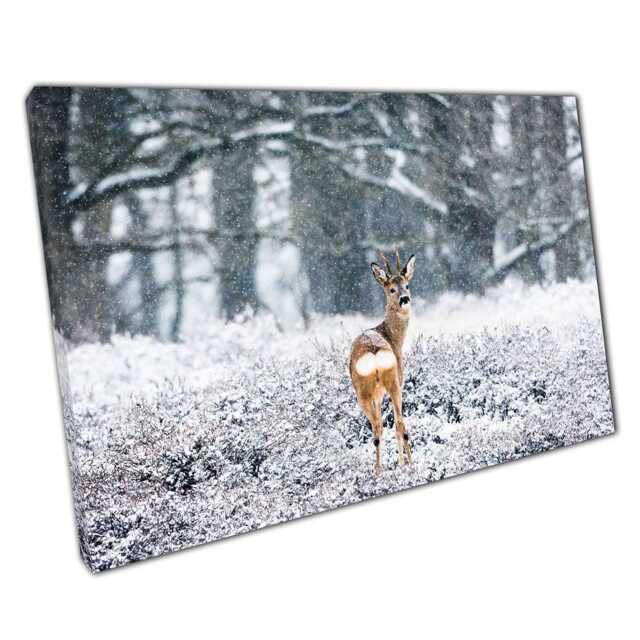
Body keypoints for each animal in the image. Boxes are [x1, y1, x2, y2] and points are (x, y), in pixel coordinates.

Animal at [349, 249, 416, 473]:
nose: (405, 299)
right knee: (395, 425)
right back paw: (406, 465)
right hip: (393, 382)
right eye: (391, 289)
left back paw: (379, 469)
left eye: (407, 285)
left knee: (380, 427)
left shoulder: (378, 394)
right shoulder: (400, 379)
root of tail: (375, 352)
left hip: (368, 391)